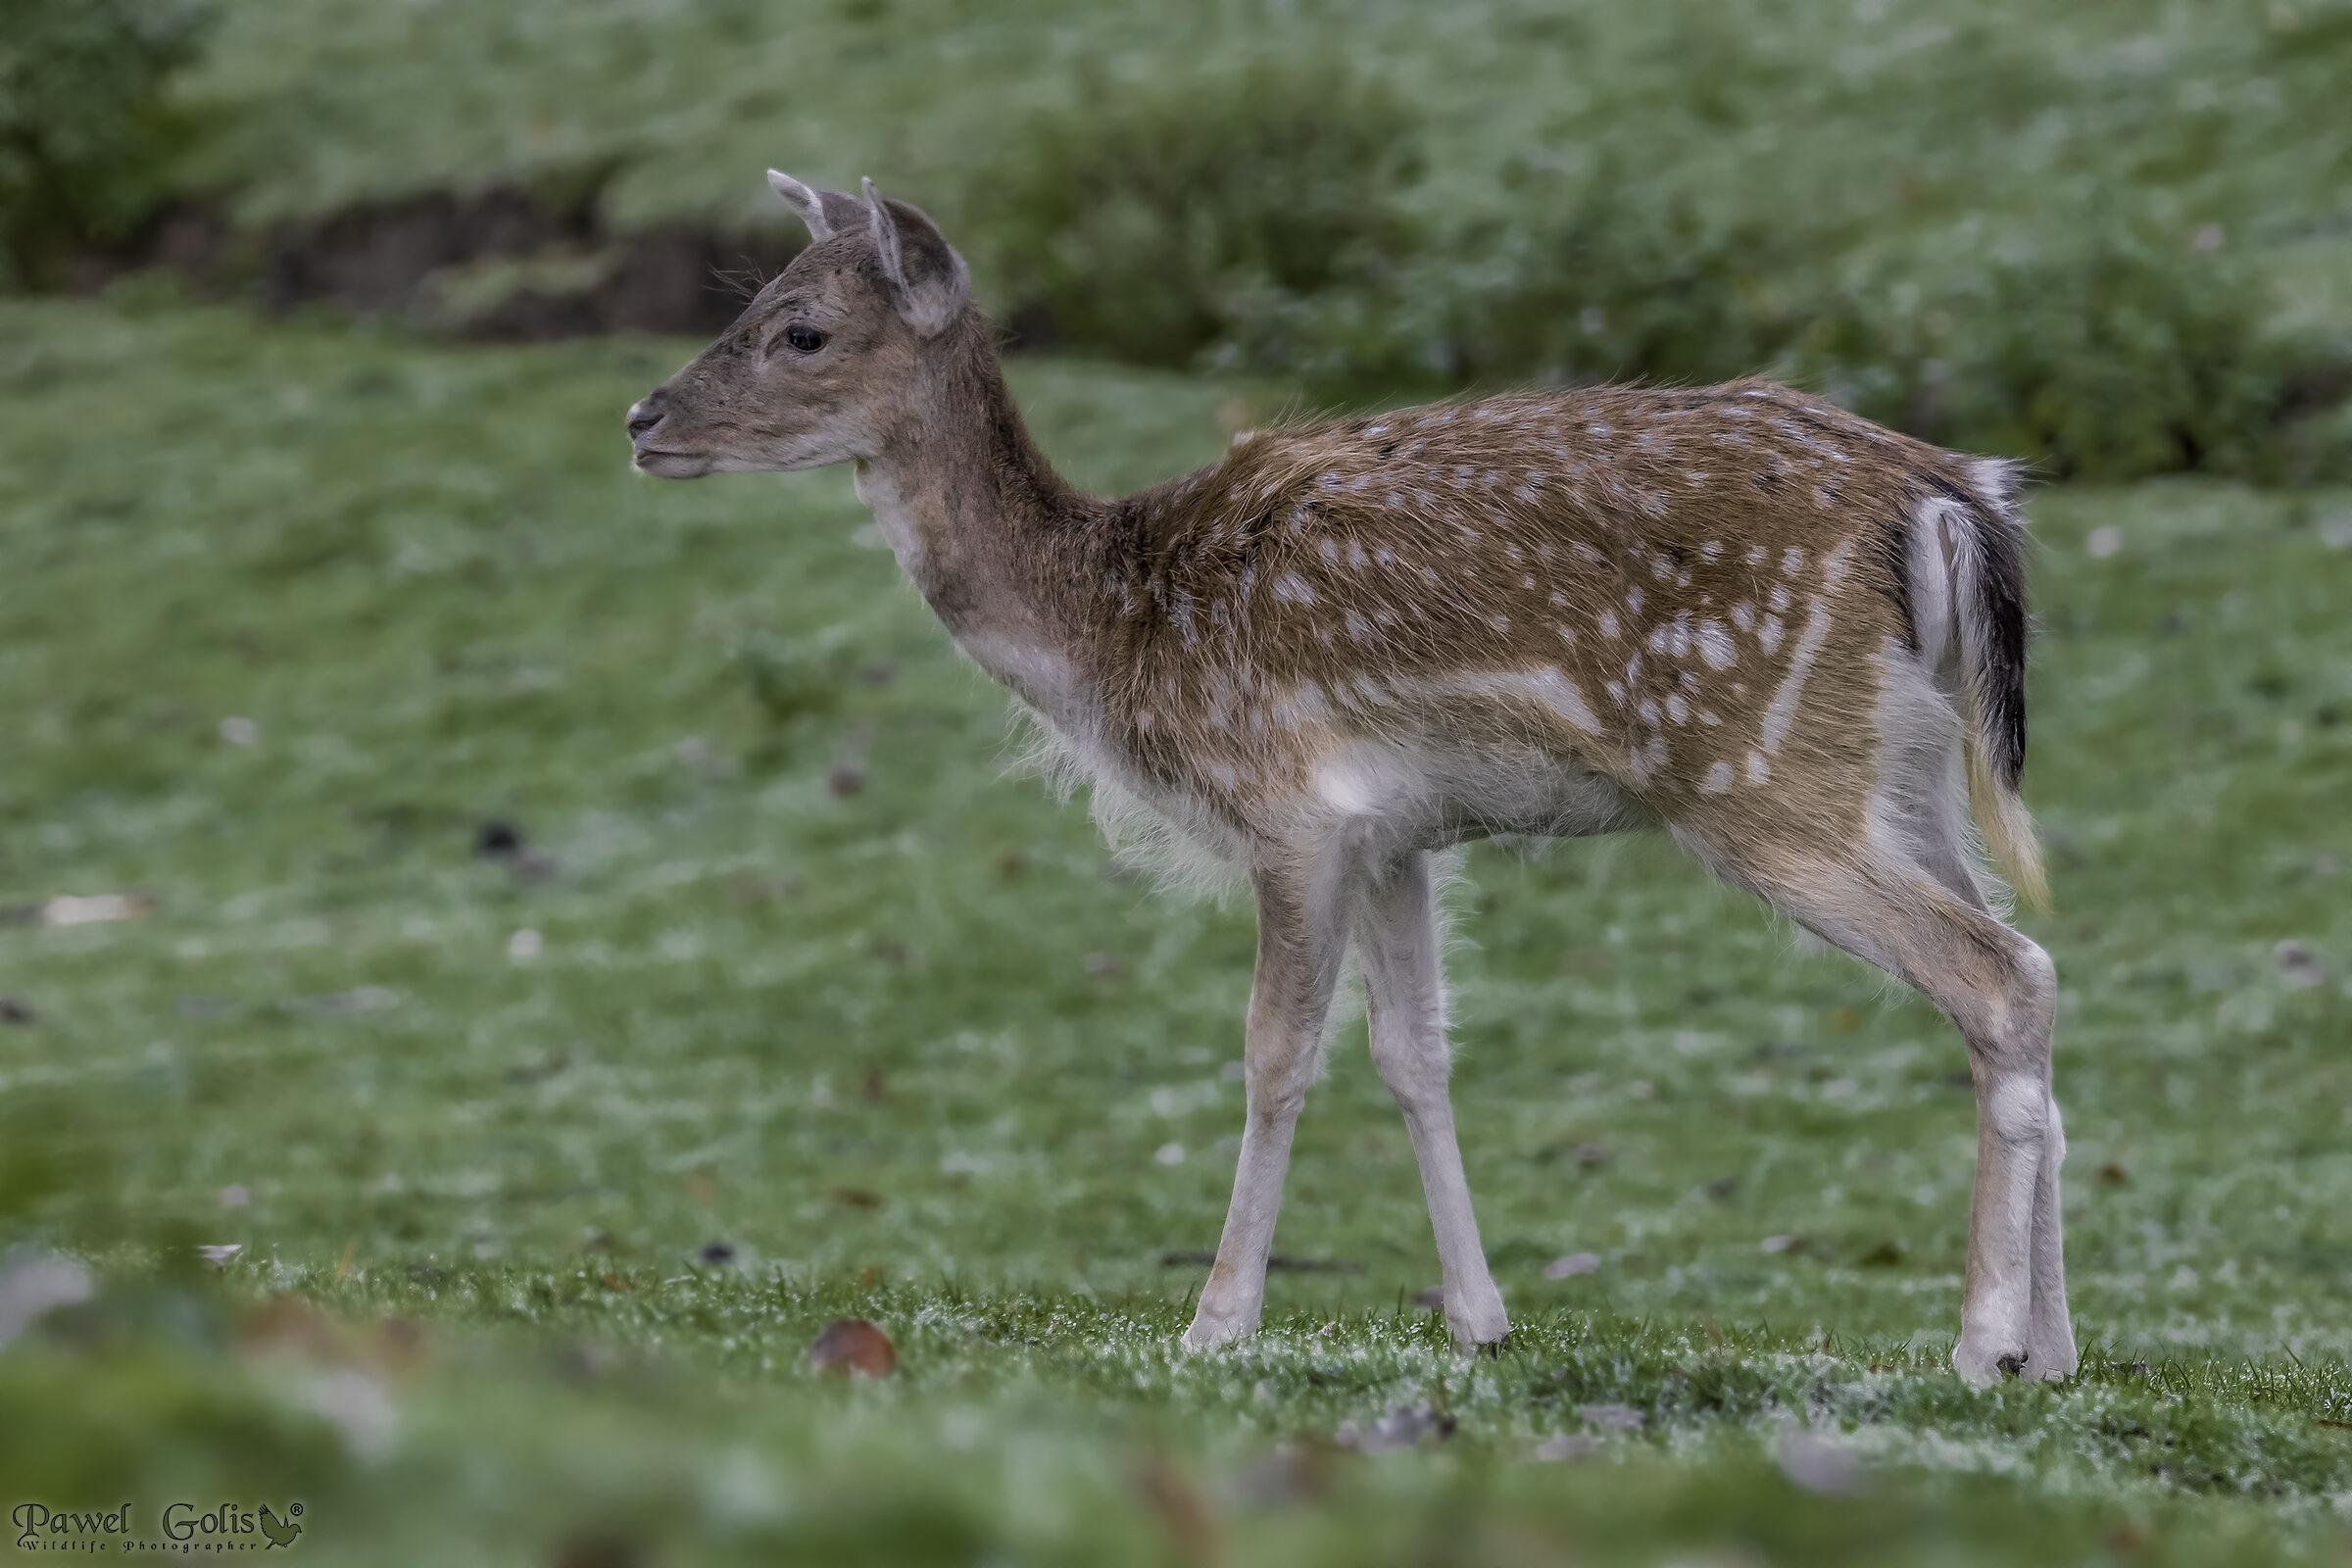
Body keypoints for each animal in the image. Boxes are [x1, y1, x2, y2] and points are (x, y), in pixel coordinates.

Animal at [625, 171, 2075, 1386]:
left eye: (802, 330)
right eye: (749, 300)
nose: (641, 419)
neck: (1113, 634)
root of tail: (1950, 495)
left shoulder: (1287, 808)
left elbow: (1276, 1055)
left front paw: (1215, 1321)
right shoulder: (1399, 833)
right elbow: (1414, 1054)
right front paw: (1480, 1320)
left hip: (1760, 770)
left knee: (1998, 975)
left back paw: (1980, 1344)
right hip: (1900, 771)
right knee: (2035, 970)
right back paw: (2054, 1350)